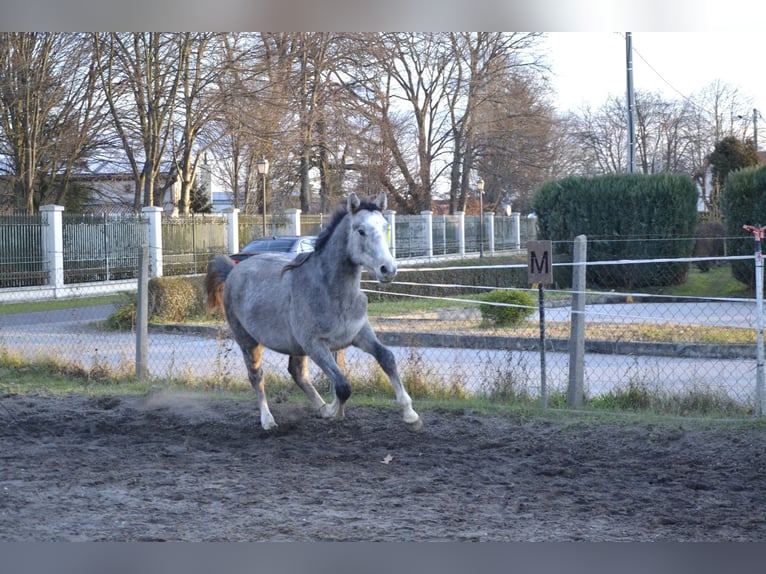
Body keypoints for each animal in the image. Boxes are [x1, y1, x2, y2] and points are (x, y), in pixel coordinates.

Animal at [207, 194, 424, 432]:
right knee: (257, 376)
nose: (388, 270)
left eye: (385, 227)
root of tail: (233, 271)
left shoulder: (360, 335)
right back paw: (268, 420)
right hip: (249, 342)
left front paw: (410, 414)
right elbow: (342, 385)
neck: (332, 292)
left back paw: (319, 407)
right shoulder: (316, 346)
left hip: (295, 346)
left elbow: (387, 358)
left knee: (297, 373)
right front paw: (333, 412)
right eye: (360, 230)